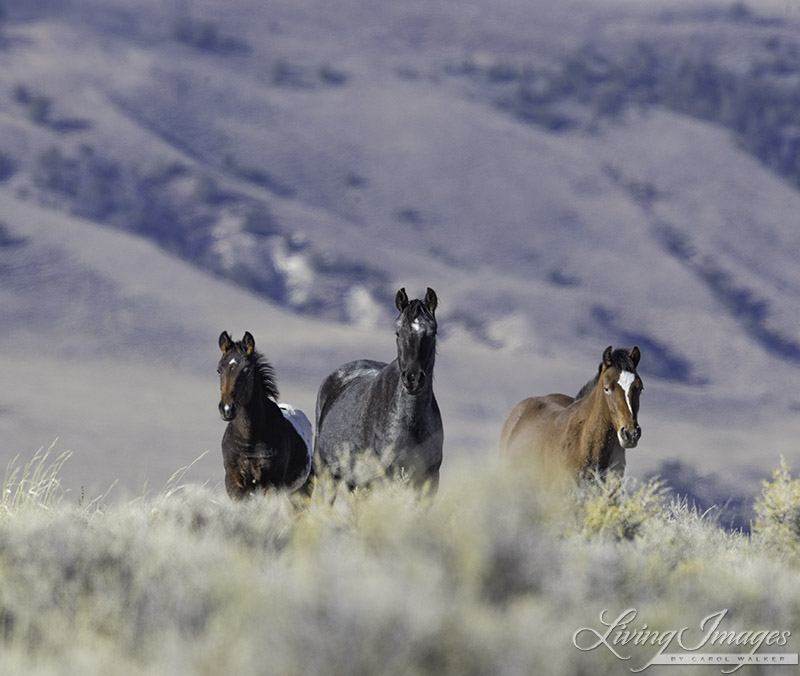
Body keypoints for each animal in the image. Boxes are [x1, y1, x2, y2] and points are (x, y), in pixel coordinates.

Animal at [217, 330, 314, 500]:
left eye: (247, 369)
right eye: (219, 370)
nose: (227, 409)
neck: (249, 441)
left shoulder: (271, 484)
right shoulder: (234, 484)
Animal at [314, 288, 444, 494]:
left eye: (433, 332)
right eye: (398, 333)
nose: (413, 378)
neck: (410, 423)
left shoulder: (429, 480)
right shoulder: (387, 478)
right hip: (327, 478)